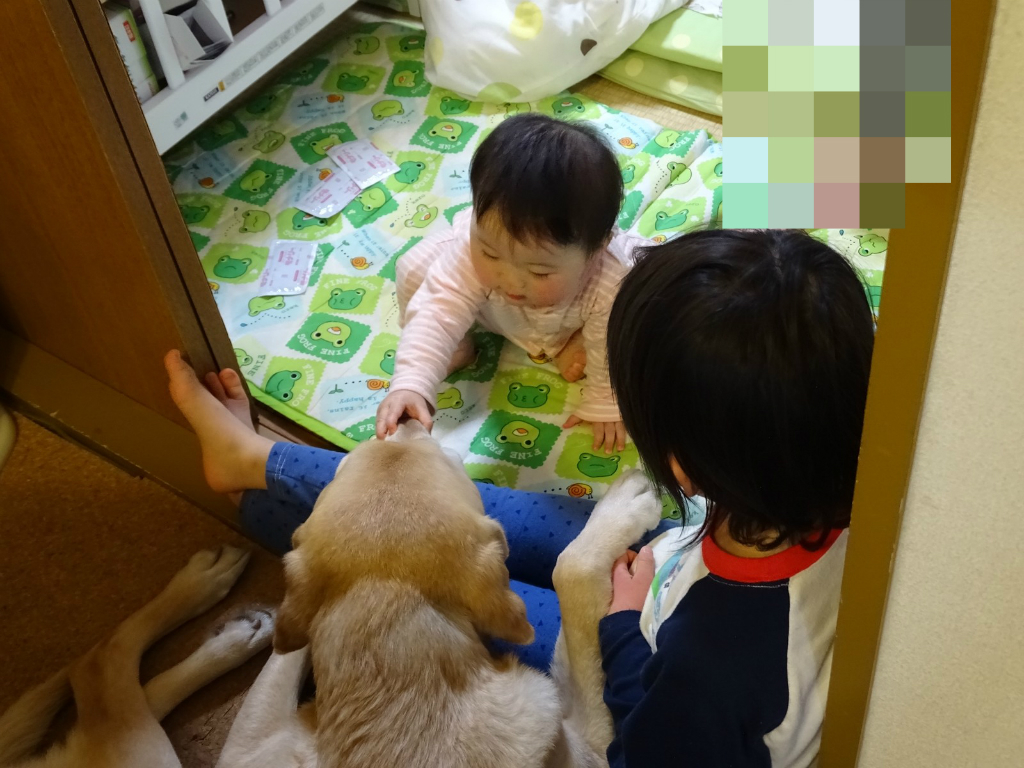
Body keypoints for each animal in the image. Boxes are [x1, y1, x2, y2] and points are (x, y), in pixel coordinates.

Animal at [216, 421, 663, 768]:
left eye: (346, 461)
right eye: (446, 458)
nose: (403, 421)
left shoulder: (245, 749)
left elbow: (290, 641)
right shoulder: (596, 748)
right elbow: (569, 569)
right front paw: (625, 506)